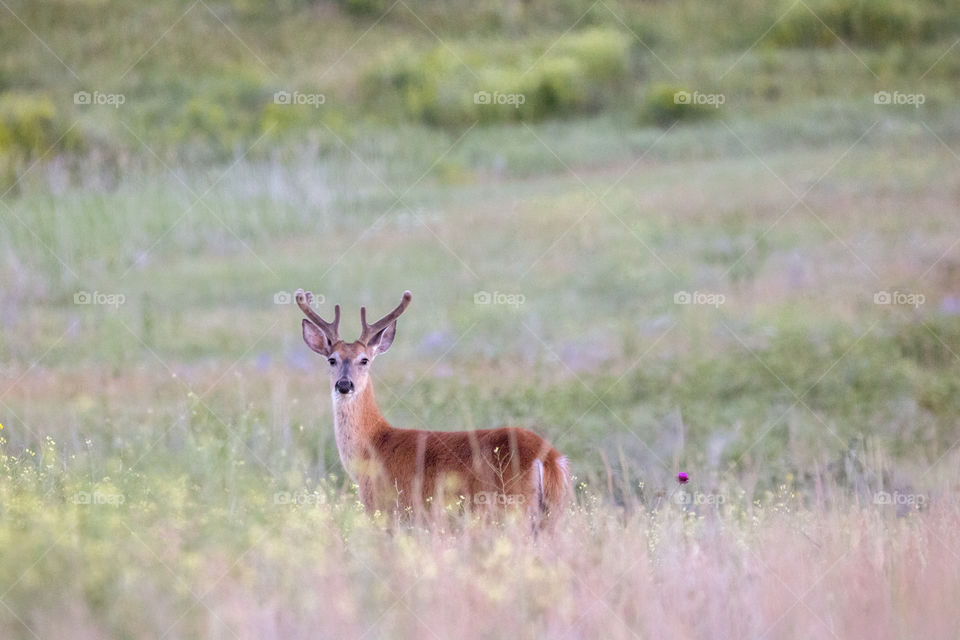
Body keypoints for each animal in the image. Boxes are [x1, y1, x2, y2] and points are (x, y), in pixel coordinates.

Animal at [298, 288, 568, 524]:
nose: (344, 384)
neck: (373, 444)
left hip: (513, 508)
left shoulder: (385, 508)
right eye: (332, 360)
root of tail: (549, 458)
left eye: (364, 360)